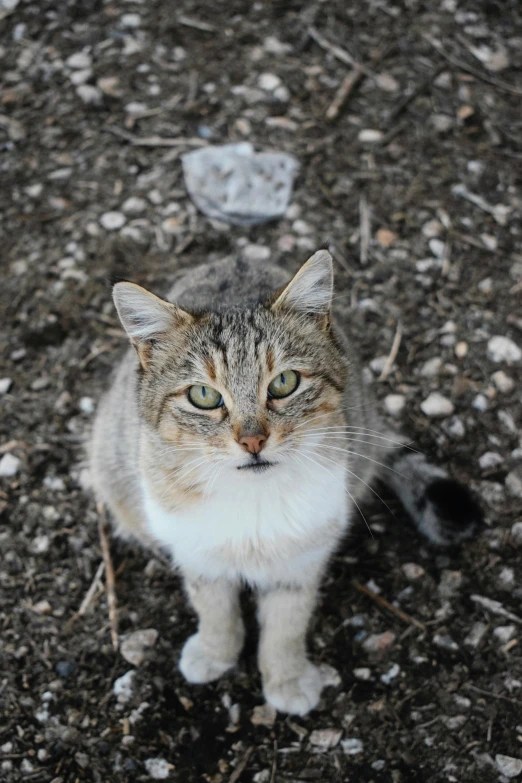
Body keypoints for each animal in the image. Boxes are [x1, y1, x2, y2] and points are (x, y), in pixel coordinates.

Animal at [88, 251, 480, 716]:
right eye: (203, 395)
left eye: (284, 383)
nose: (253, 441)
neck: (252, 499)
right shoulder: (197, 548)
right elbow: (213, 607)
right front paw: (216, 652)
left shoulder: (302, 556)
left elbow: (287, 623)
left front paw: (287, 677)